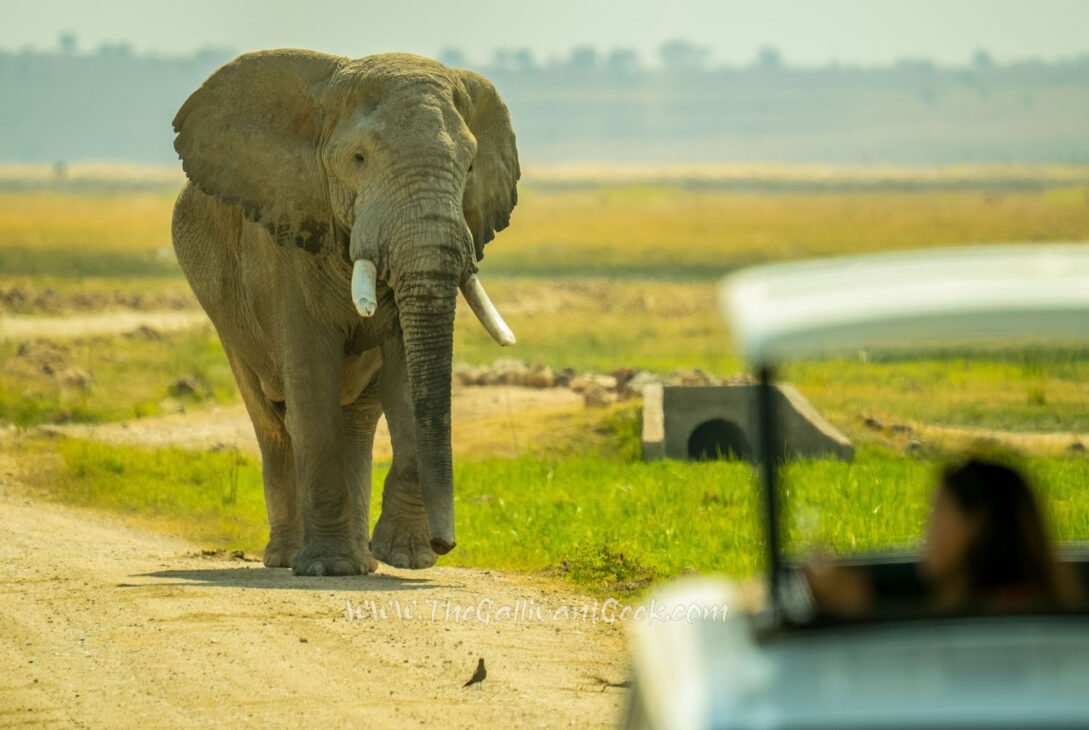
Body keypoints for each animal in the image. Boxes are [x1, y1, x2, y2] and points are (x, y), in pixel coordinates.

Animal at [170, 49, 519, 576]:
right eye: (358, 160)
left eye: (471, 164)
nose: (446, 544)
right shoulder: (285, 241)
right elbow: (311, 383)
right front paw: (327, 568)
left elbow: (406, 380)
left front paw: (405, 558)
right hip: (225, 315)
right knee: (272, 422)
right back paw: (289, 558)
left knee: (356, 422)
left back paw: (365, 562)